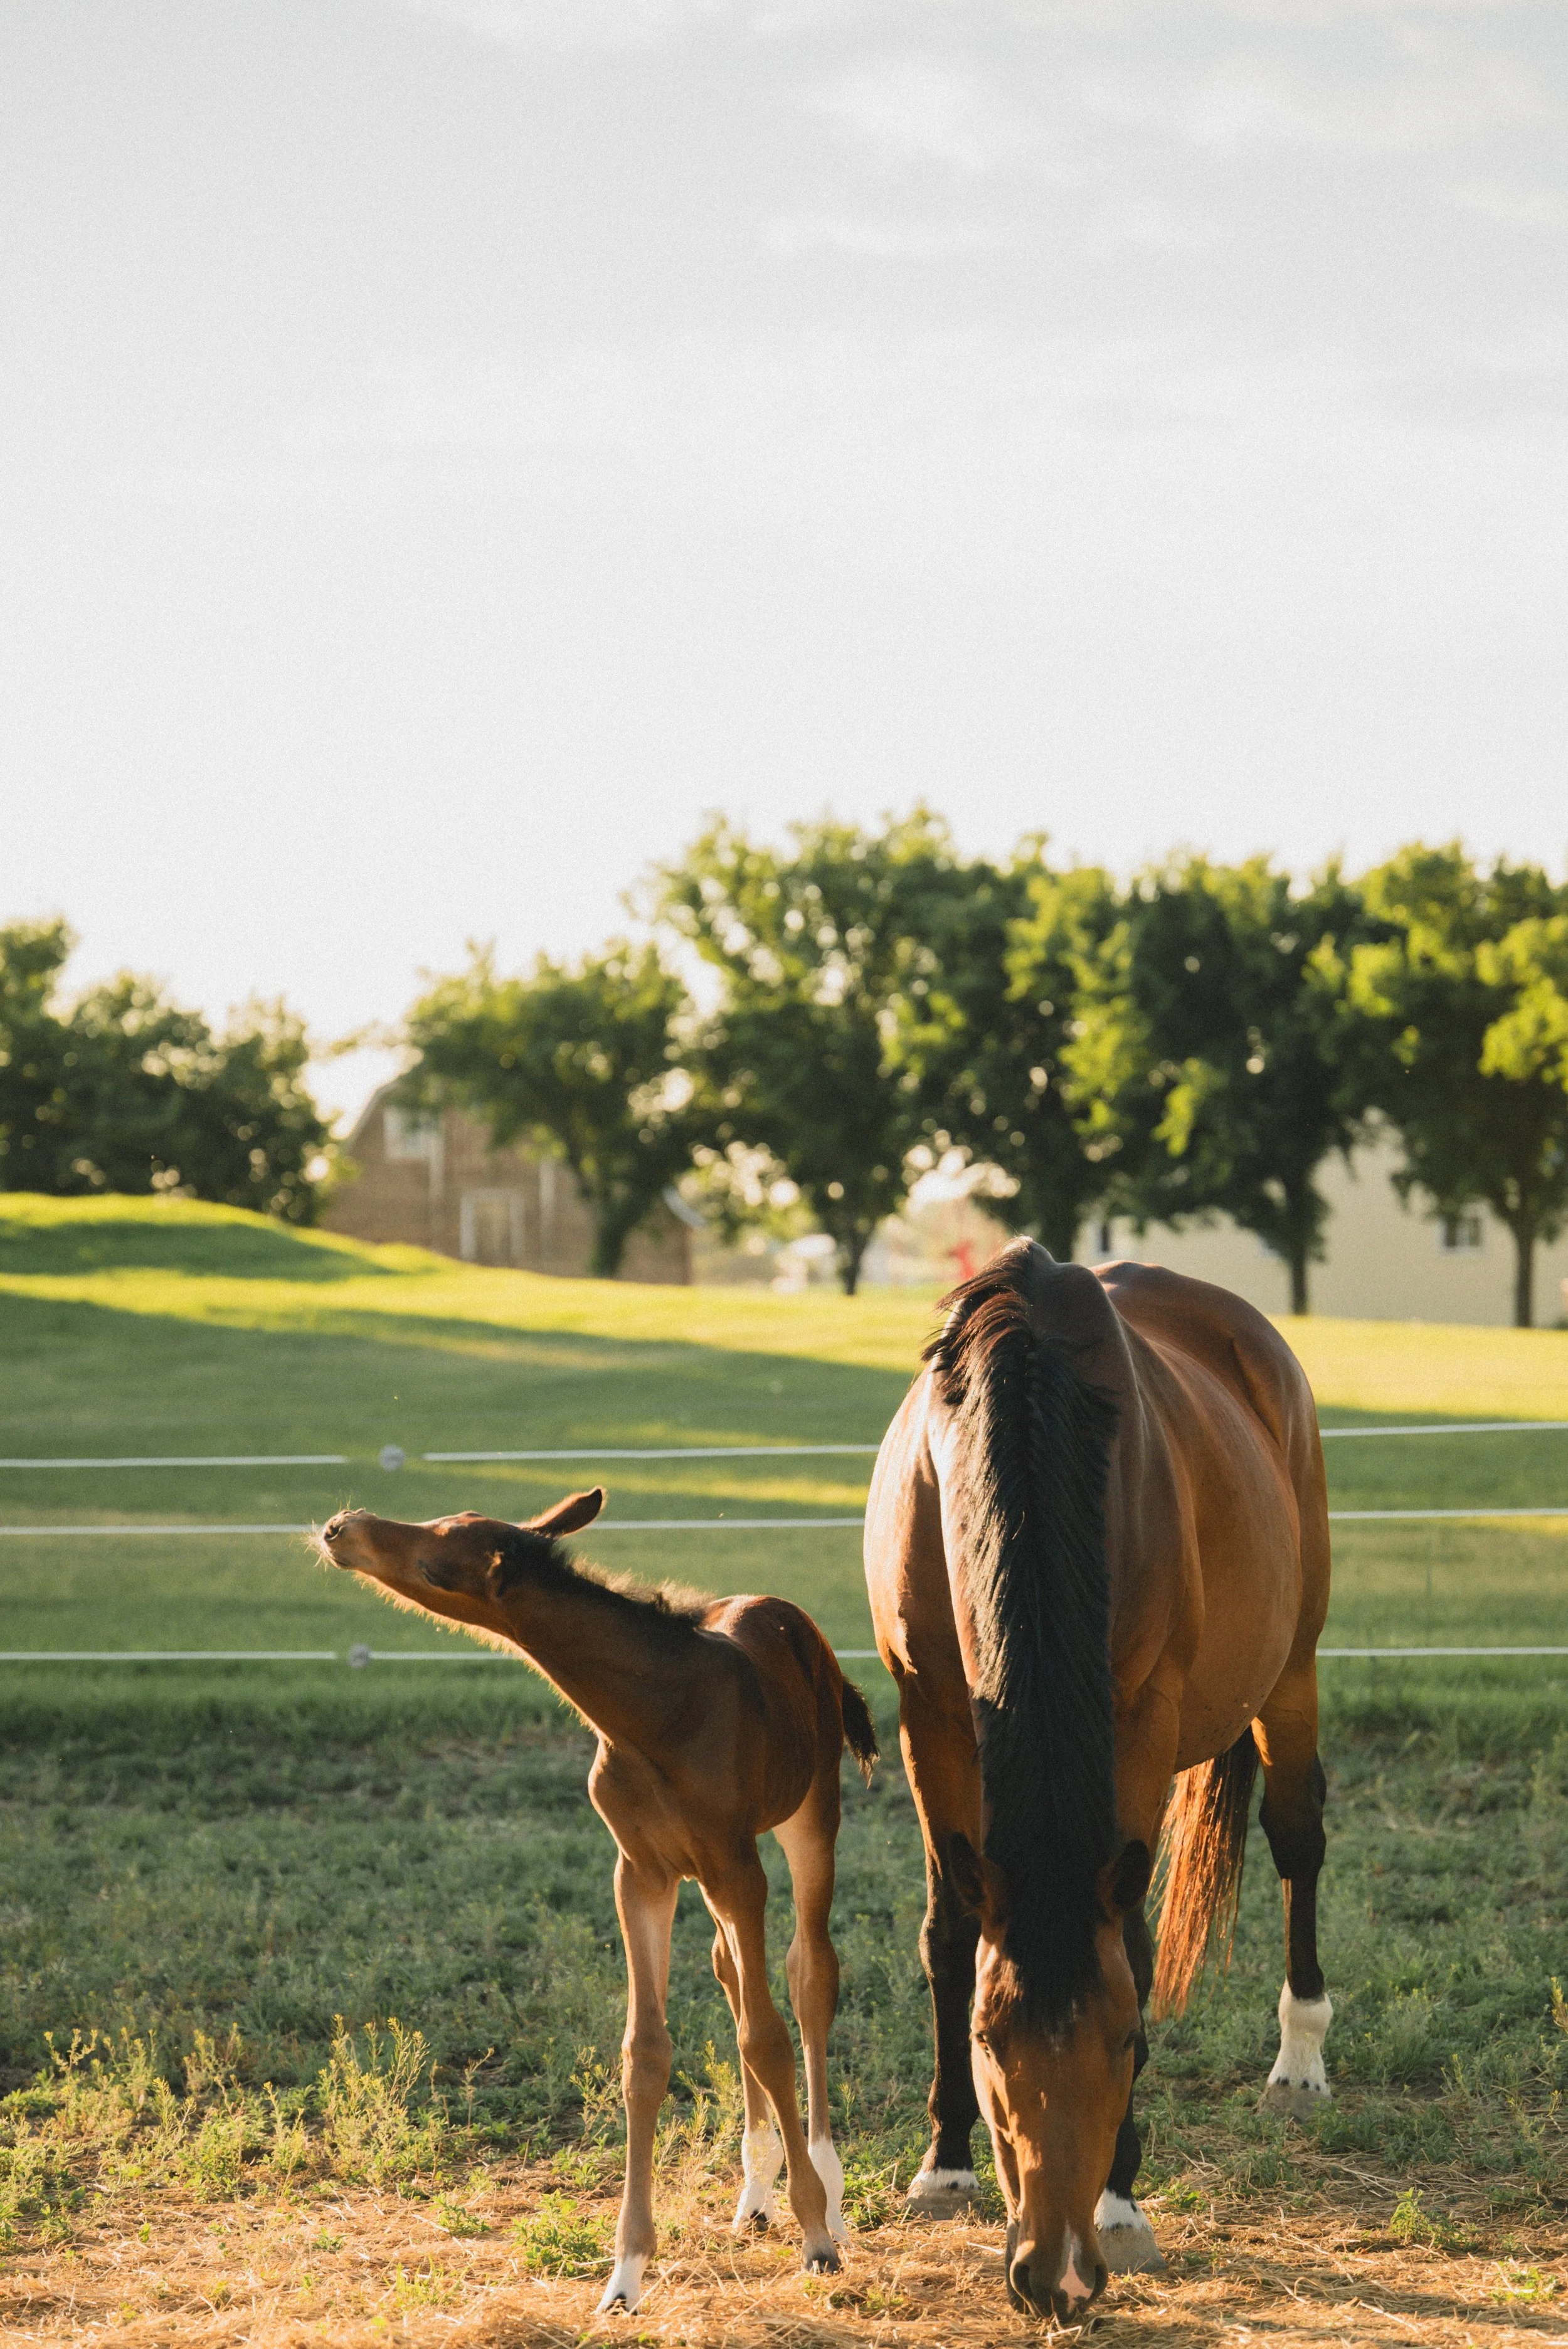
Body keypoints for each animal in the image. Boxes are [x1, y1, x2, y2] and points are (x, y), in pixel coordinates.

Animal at [317, 1486, 878, 2315]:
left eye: (436, 1561)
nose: (340, 1527)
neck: (654, 1716)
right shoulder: (641, 1870)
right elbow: (646, 2054)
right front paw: (626, 2273)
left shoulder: (737, 1864)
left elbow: (768, 2036)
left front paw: (816, 2236)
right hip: (709, 1875)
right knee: (731, 1973)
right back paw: (753, 2193)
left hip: (810, 1815)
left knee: (809, 1974)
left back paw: (827, 2196)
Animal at [863, 1240, 1332, 2323]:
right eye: (987, 2040)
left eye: (1126, 2042)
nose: (1058, 2275)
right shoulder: (927, 1715)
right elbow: (949, 1931)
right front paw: (944, 2164)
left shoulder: (1139, 1718)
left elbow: (1136, 1947)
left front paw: (1120, 2200)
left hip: (1292, 1666)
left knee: (1299, 1837)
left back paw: (1300, 2058)